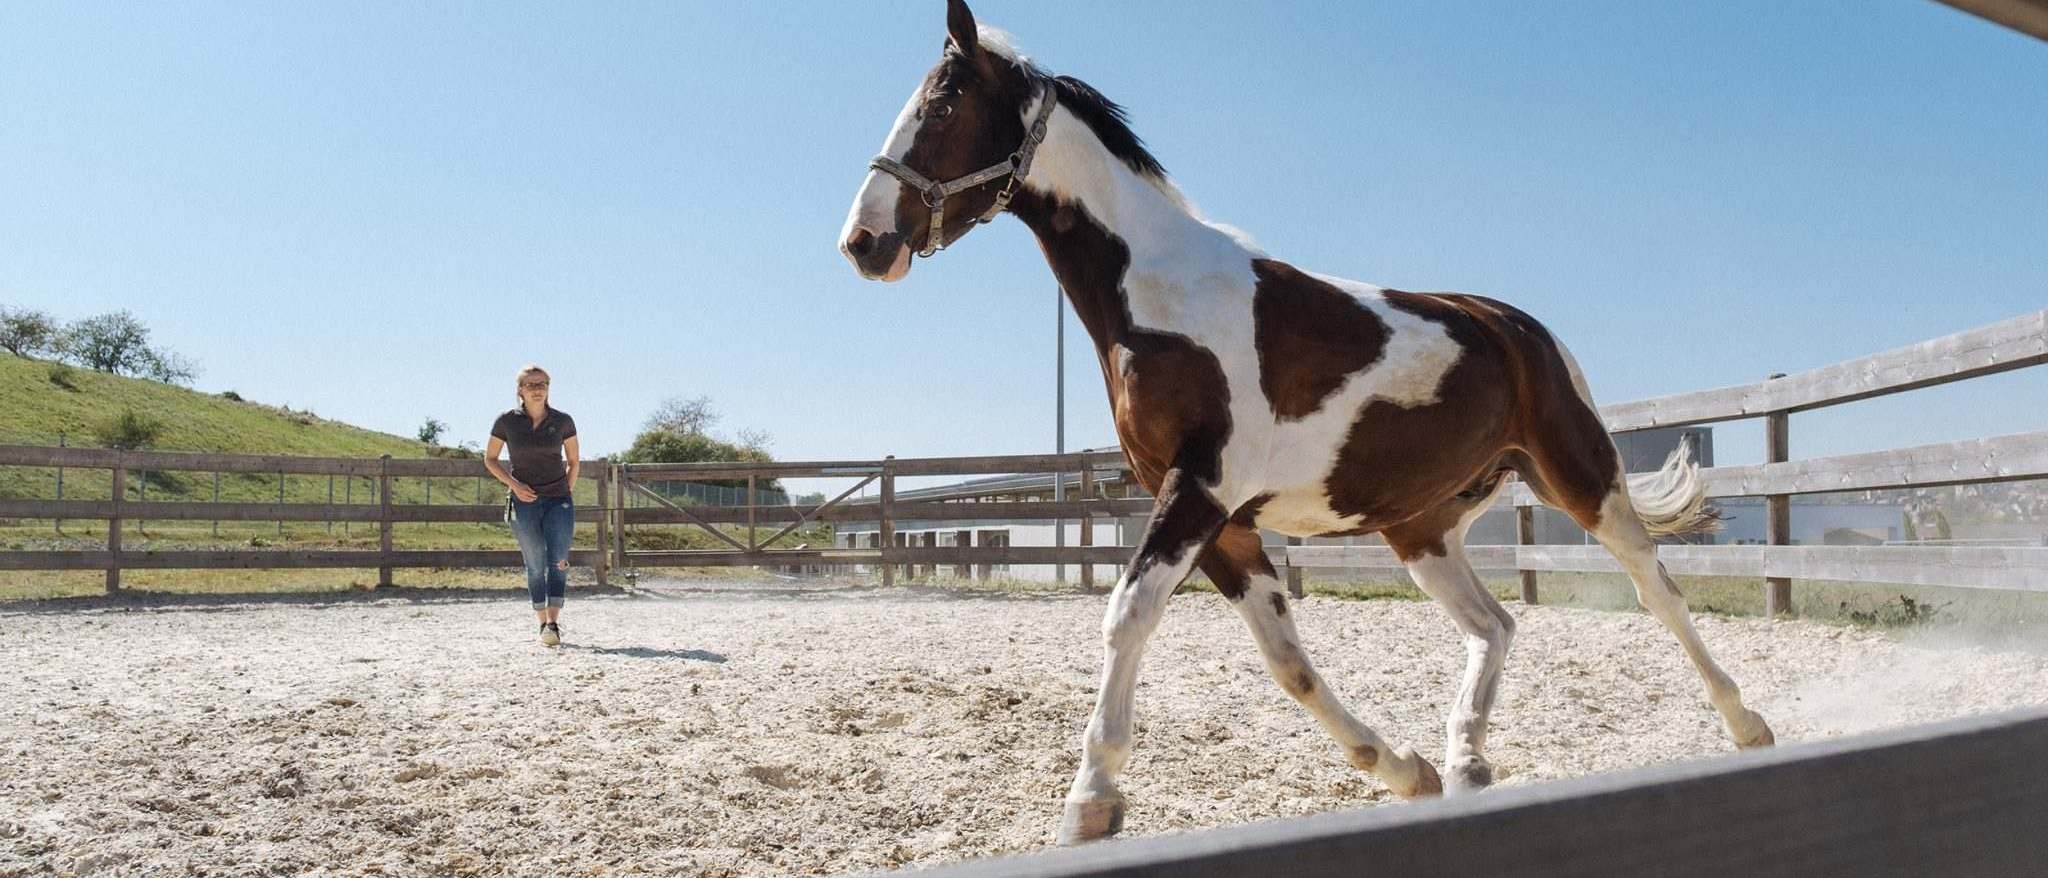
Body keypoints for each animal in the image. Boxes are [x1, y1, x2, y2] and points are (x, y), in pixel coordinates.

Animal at [839, 0, 1769, 843]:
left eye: (943, 104)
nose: (864, 243)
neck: (1161, 297)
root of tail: (1517, 327)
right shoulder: (1227, 524)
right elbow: (1287, 663)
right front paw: (1405, 771)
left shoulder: (1199, 492)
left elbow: (1128, 616)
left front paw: (1090, 803)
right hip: (1419, 527)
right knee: (1495, 625)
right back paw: (1466, 762)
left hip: (1580, 477)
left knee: (1658, 589)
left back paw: (1747, 725)